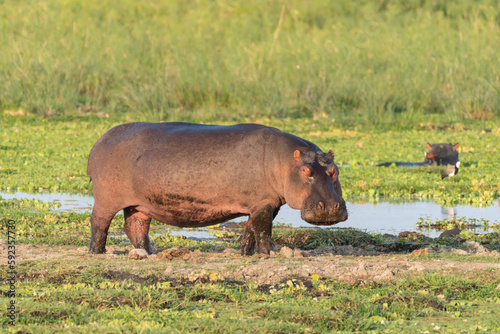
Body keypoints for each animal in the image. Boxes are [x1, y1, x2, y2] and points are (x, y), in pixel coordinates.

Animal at [87, 122, 348, 256]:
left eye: (335, 169)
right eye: (305, 171)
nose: (330, 208)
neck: (284, 161)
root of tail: (99, 142)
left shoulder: (265, 204)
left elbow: (250, 230)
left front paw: (245, 254)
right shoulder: (263, 203)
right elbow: (263, 231)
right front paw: (267, 254)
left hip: (140, 203)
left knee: (136, 226)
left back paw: (149, 252)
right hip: (106, 198)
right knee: (99, 223)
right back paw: (98, 252)